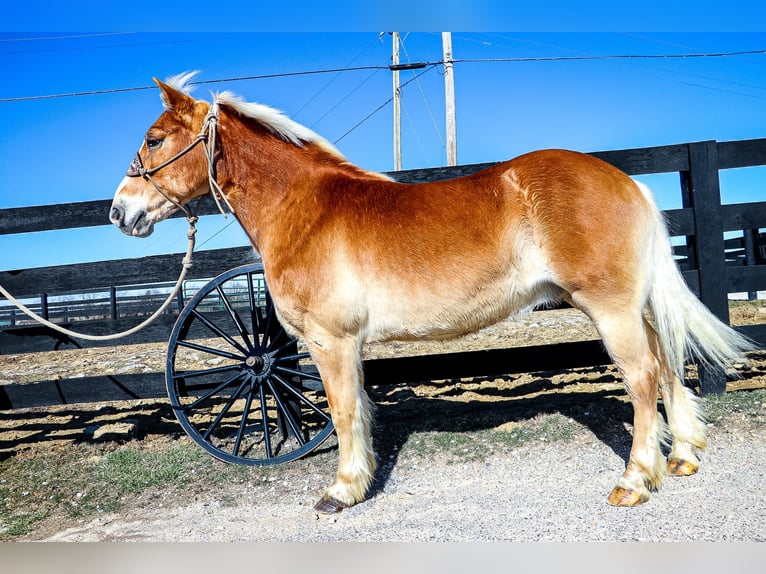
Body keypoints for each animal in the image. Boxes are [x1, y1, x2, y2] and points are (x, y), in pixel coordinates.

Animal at [109, 73, 756, 516]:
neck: (307, 208)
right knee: (667, 364)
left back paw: (635, 480)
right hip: (632, 307)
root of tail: (626, 182)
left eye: (154, 138)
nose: (120, 211)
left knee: (643, 377)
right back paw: (683, 456)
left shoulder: (330, 340)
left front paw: (341, 491)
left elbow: (343, 411)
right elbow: (360, 408)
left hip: (611, 309)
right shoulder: (347, 345)